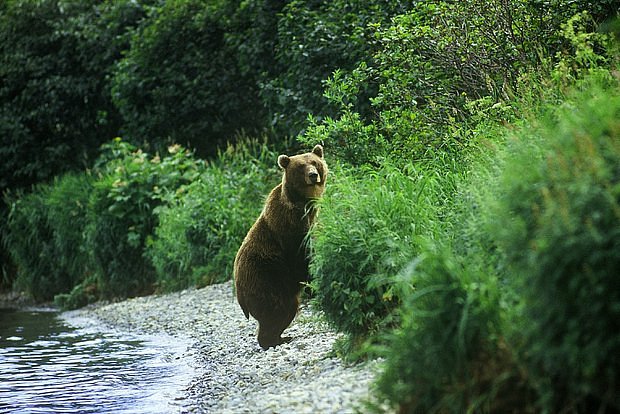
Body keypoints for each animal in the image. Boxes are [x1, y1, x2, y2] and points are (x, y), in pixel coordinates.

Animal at [234, 144, 330, 348]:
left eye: (314, 162)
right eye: (301, 166)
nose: (313, 175)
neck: (304, 204)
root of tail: (239, 294)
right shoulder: (289, 227)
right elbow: (301, 256)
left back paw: (281, 337)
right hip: (266, 277)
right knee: (281, 307)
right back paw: (274, 340)